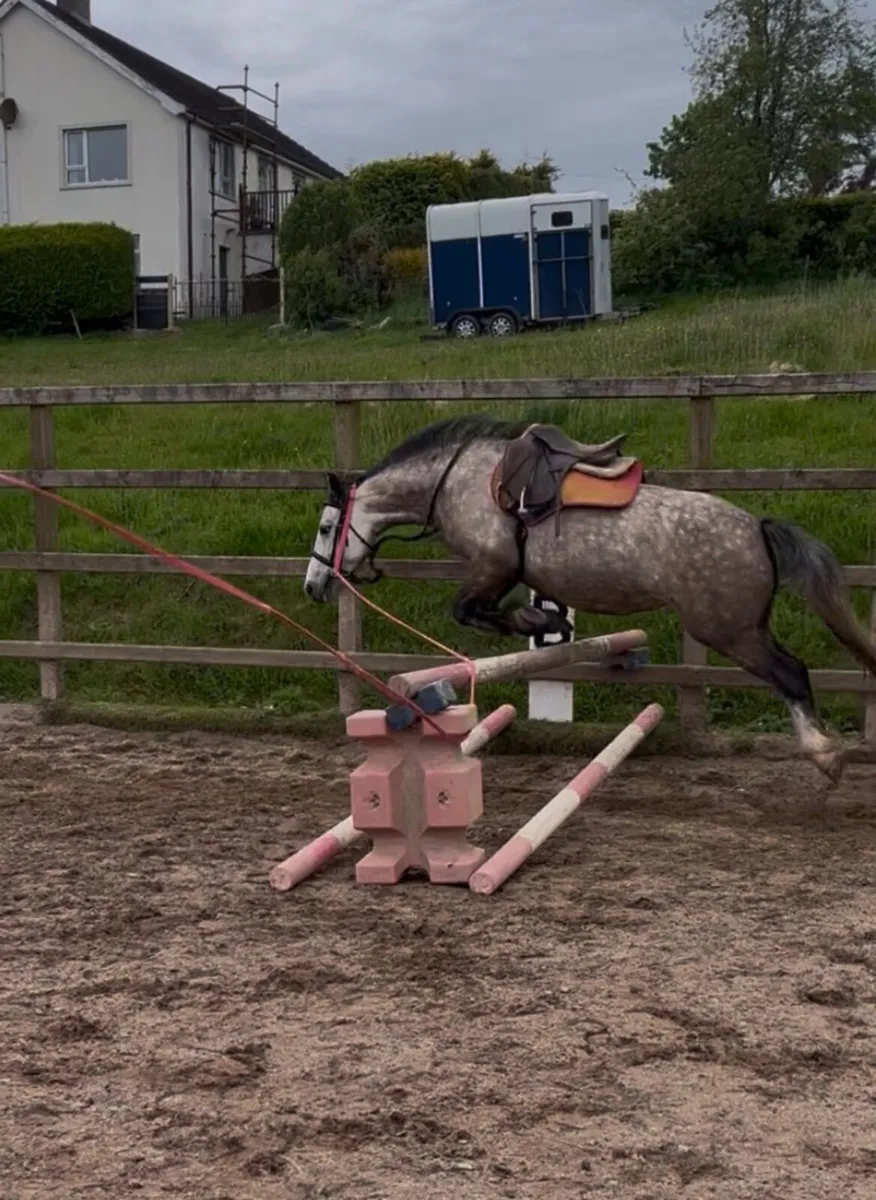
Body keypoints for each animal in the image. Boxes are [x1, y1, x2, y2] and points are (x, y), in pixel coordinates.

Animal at [303, 413, 876, 784]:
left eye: (327, 527)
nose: (313, 586)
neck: (452, 482)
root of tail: (757, 528)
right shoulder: (497, 572)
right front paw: (543, 621)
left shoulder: (492, 566)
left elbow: (469, 610)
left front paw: (535, 619)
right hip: (738, 628)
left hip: (729, 630)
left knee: (791, 674)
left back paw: (826, 756)